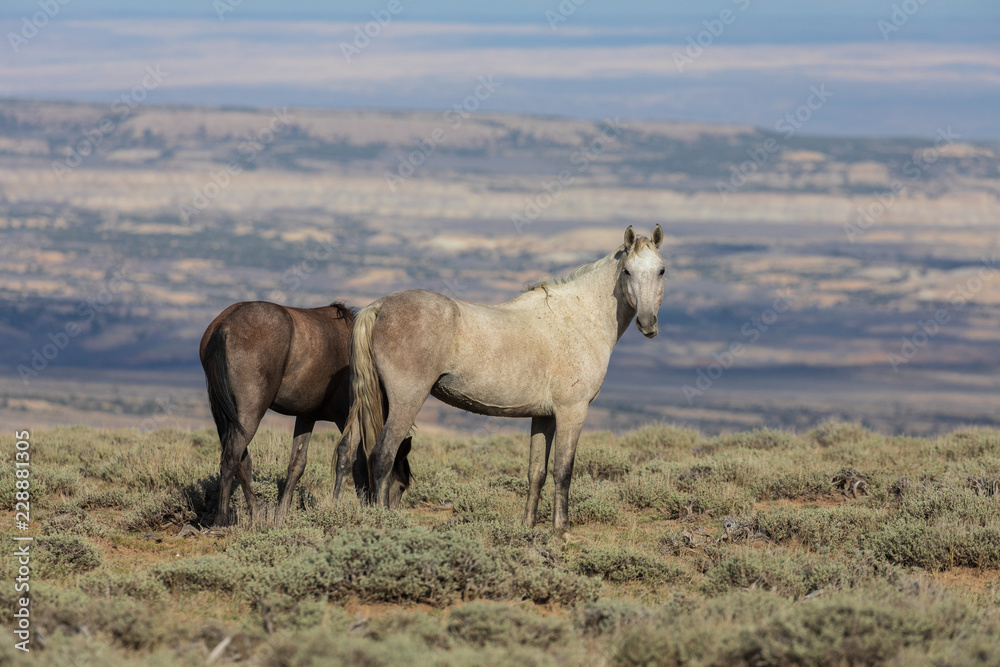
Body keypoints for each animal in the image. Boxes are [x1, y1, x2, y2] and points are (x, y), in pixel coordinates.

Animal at [200, 300, 412, 526]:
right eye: (402, 486)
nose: (390, 512)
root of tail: (223, 327)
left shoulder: (306, 417)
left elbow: (297, 463)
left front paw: (282, 513)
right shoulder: (348, 417)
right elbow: (349, 458)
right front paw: (341, 505)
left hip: (225, 416)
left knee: (242, 461)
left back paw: (256, 515)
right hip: (250, 413)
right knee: (231, 457)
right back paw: (221, 519)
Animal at [333, 225, 664, 533]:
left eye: (661, 270)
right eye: (627, 271)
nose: (647, 323)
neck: (577, 319)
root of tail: (377, 307)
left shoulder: (544, 417)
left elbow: (536, 472)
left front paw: (528, 526)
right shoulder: (572, 411)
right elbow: (563, 471)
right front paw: (561, 530)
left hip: (369, 400)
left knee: (348, 451)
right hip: (406, 401)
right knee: (382, 456)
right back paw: (382, 521)